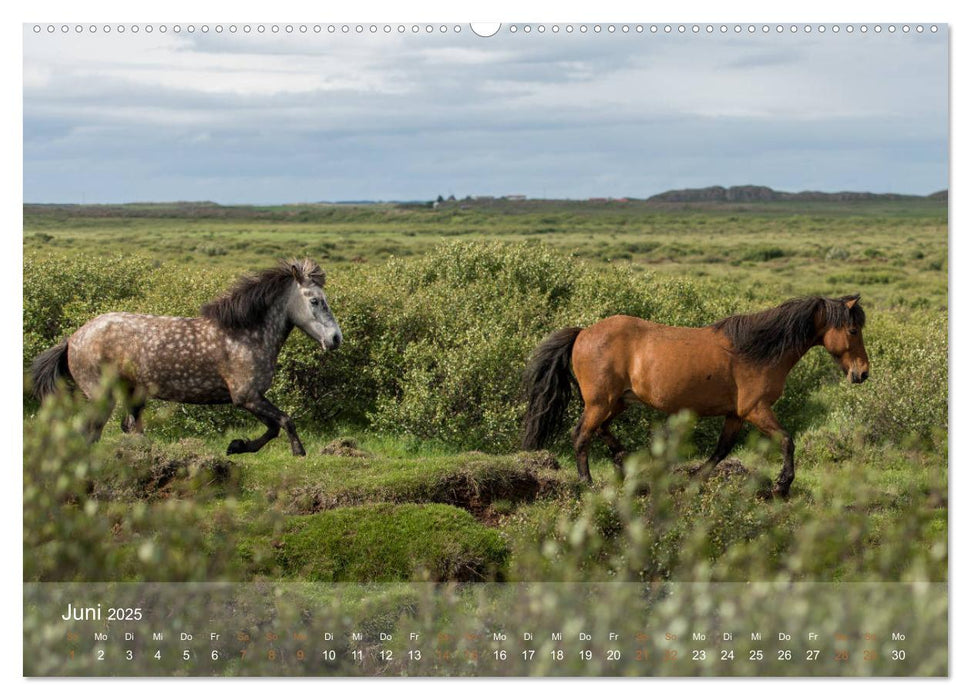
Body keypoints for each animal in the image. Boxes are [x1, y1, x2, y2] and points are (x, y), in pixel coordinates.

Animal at [31, 260, 342, 456]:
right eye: (315, 300)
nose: (336, 338)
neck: (246, 334)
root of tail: (72, 339)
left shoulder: (252, 398)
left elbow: (274, 427)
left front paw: (237, 446)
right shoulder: (247, 397)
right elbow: (285, 421)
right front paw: (298, 452)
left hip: (132, 393)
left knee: (128, 429)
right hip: (101, 395)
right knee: (89, 432)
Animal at [524, 296, 872, 498]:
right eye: (853, 331)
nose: (862, 373)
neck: (757, 350)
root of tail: (583, 333)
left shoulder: (735, 414)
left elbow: (721, 450)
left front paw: (693, 480)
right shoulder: (756, 409)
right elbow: (786, 440)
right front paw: (782, 484)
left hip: (616, 401)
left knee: (601, 431)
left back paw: (624, 462)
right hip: (601, 402)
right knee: (581, 435)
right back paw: (587, 483)